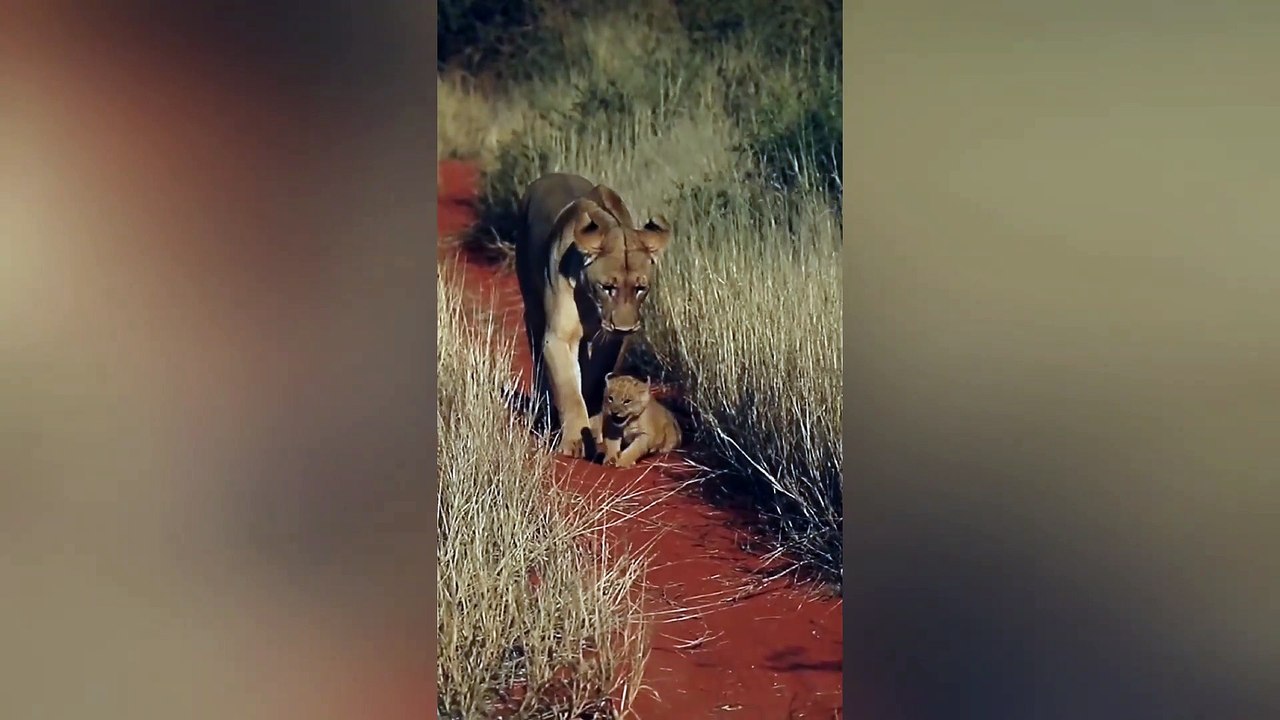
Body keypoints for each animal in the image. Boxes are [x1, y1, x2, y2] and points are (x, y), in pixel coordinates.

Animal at [515, 172, 672, 458]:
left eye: (640, 288)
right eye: (607, 287)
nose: (624, 328)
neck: (591, 302)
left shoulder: (610, 342)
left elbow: (597, 380)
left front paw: (598, 425)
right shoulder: (559, 337)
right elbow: (568, 389)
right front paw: (576, 439)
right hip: (532, 306)